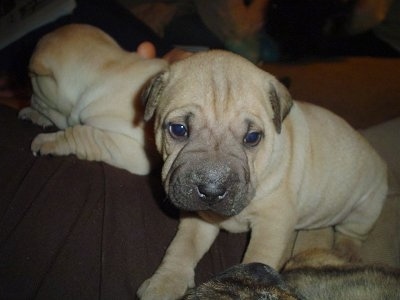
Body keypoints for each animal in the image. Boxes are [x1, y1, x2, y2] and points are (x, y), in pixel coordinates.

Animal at [18, 24, 167, 175]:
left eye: (31, 80)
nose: (30, 97)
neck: (109, 68)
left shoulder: (132, 150)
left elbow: (80, 134)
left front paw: (46, 141)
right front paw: (33, 114)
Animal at [138, 50, 388, 298]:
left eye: (252, 138)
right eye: (178, 129)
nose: (211, 190)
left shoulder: (272, 224)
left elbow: (258, 256)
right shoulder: (200, 217)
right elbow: (182, 247)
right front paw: (165, 283)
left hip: (366, 206)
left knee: (353, 232)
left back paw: (347, 251)